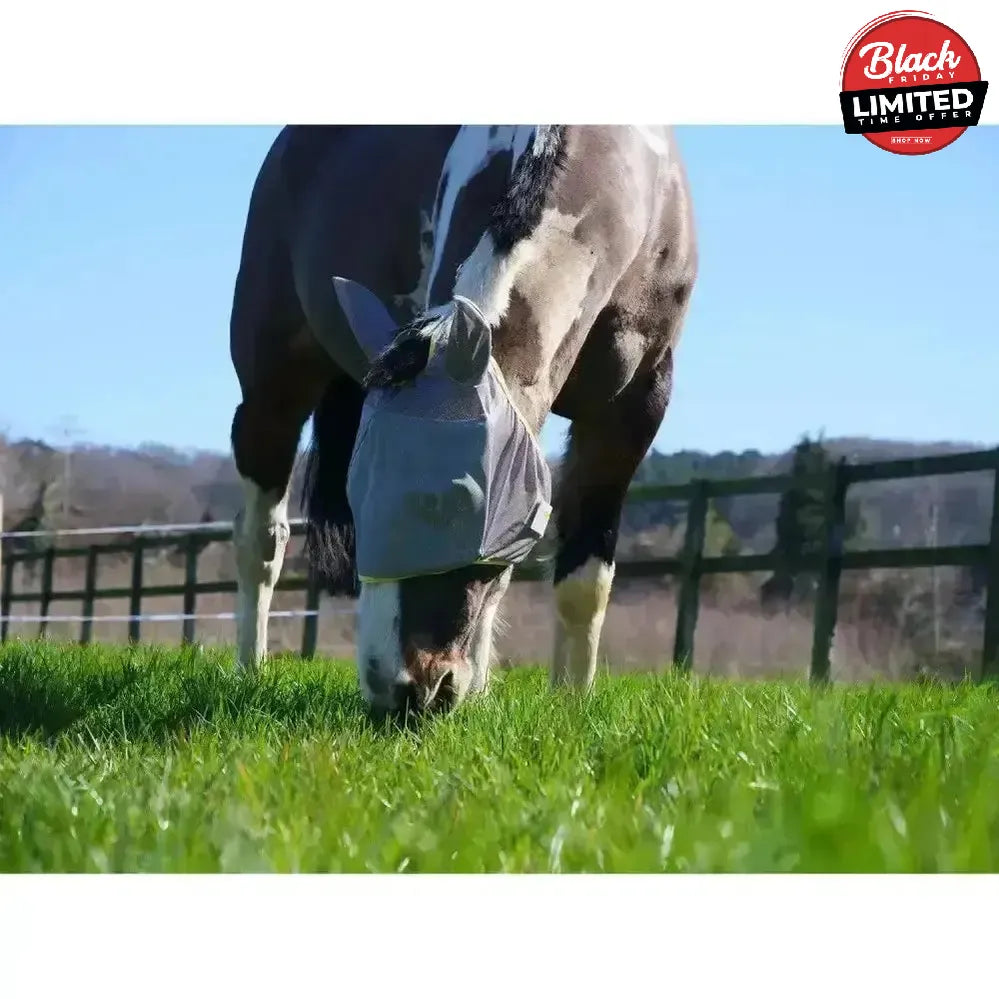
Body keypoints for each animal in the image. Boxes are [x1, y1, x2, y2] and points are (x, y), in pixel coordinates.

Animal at [229, 125, 697, 714]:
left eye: (456, 504)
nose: (404, 692)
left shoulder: (631, 414)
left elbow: (583, 579)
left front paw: (570, 704)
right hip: (271, 393)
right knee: (261, 543)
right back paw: (250, 670)